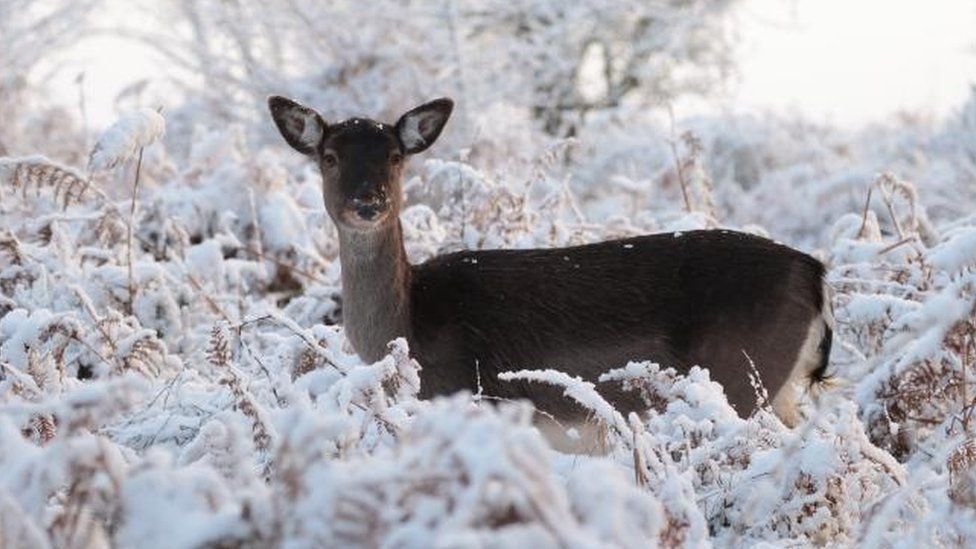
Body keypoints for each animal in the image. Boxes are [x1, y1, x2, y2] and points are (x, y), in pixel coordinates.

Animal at [266, 93, 832, 446]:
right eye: (330, 156)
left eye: (396, 156)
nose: (368, 202)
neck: (411, 327)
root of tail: (814, 275)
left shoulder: (482, 398)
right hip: (779, 390)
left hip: (742, 376)